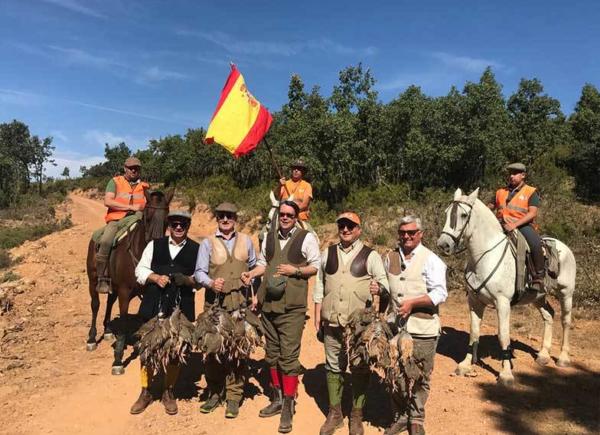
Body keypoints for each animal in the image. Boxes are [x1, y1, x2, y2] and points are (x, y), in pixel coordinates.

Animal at [84, 190, 173, 374]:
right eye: (147, 217)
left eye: (167, 220)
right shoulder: (125, 292)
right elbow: (124, 320)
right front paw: (118, 359)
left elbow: (145, 319)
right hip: (93, 280)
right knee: (95, 305)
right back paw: (92, 339)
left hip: (113, 286)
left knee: (109, 302)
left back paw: (108, 330)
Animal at [436, 189, 576, 386]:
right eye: (447, 213)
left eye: (463, 215)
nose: (443, 245)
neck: (486, 255)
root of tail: (564, 247)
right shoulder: (474, 301)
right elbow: (474, 332)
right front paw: (465, 365)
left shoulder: (502, 303)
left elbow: (503, 335)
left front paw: (506, 373)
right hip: (538, 297)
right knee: (549, 315)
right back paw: (543, 355)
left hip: (566, 293)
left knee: (565, 321)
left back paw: (563, 358)